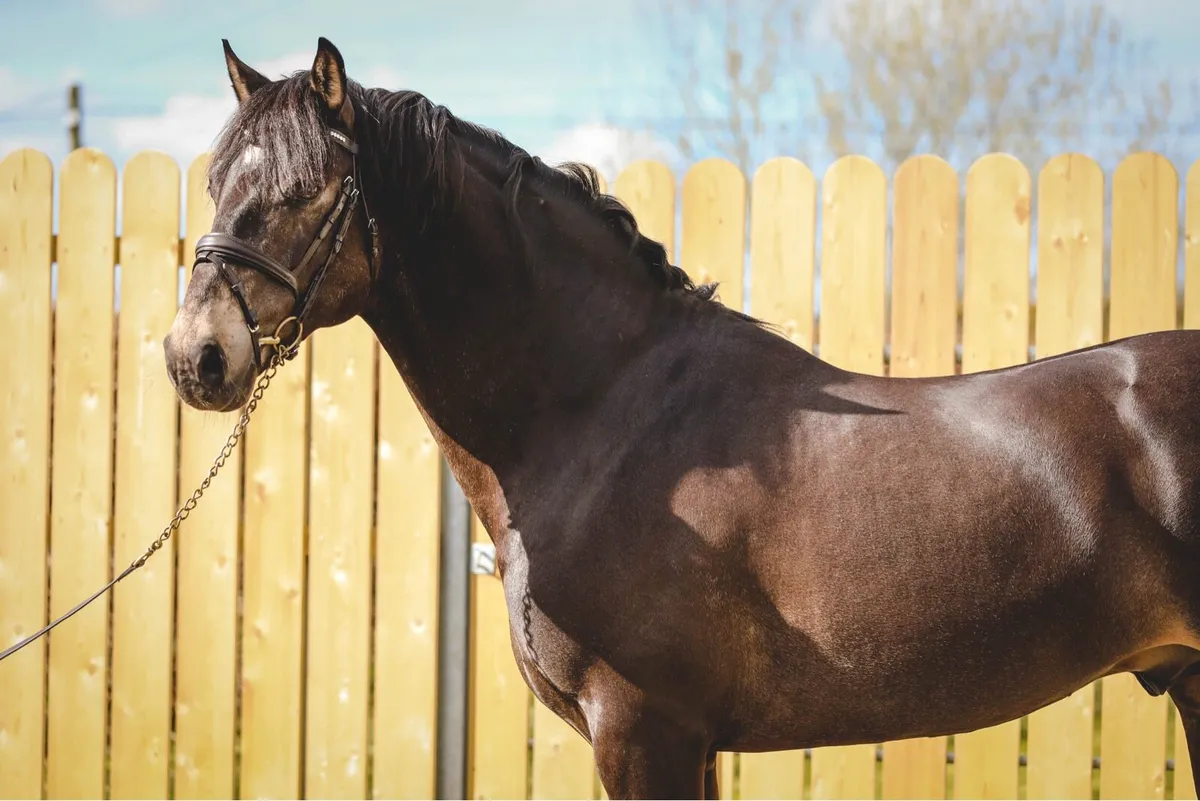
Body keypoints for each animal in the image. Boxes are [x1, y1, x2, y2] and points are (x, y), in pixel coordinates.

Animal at [163, 37, 1200, 799]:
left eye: (305, 189)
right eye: (215, 185)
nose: (194, 356)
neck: (606, 414)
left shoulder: (643, 729)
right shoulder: (684, 740)